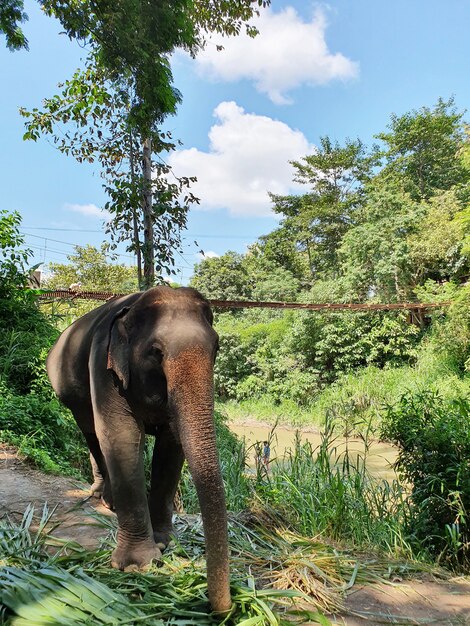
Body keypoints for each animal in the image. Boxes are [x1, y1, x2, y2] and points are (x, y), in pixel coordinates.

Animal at [46, 286, 231, 612]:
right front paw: (137, 565)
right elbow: (121, 435)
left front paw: (165, 543)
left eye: (217, 348)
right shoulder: (103, 364)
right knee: (91, 431)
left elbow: (171, 445)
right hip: (70, 392)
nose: (225, 607)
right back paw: (104, 499)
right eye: (156, 352)